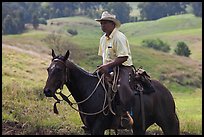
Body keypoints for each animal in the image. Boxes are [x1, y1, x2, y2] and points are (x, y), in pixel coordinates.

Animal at [43, 49, 179, 135]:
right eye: (48, 69)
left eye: (59, 69)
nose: (47, 91)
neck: (89, 90)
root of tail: (166, 91)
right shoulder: (89, 129)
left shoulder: (98, 128)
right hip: (139, 126)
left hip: (169, 123)